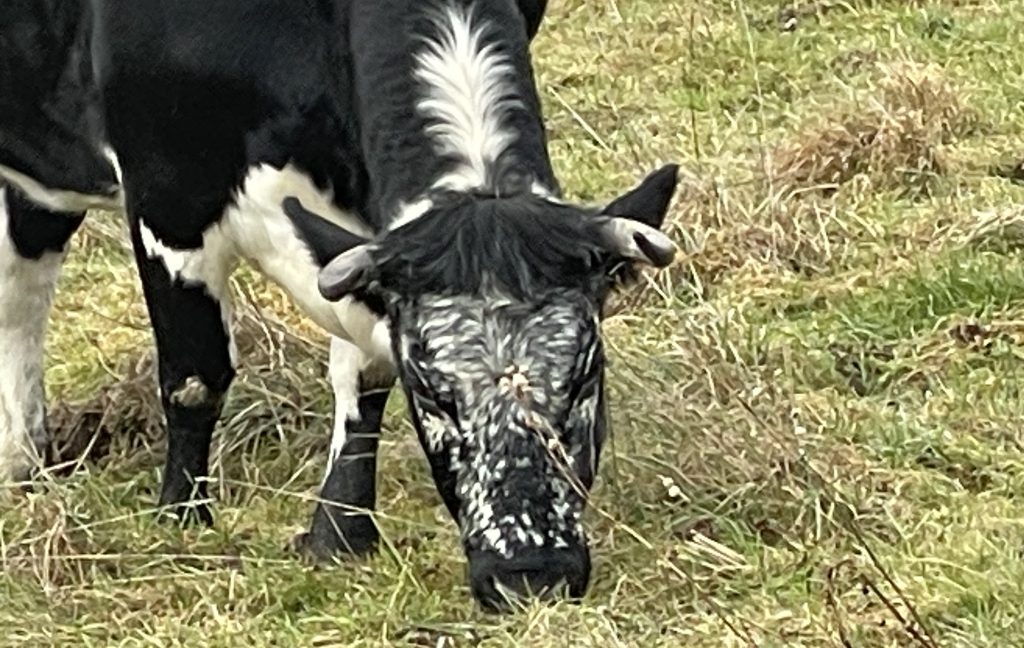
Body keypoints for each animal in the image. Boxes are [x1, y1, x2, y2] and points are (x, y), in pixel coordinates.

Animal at [0, 0, 679, 610]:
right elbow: (196, 376)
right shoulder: (169, 191)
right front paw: (182, 518)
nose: (530, 576)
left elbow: (366, 370)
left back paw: (24, 460)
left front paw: (340, 532)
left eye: (586, 376)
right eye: (433, 395)